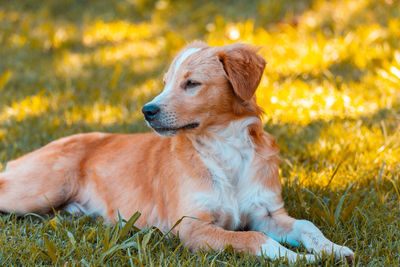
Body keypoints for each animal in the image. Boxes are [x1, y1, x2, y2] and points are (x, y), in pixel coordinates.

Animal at [0, 42, 354, 264]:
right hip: (40, 189)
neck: (224, 148)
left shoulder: (267, 213)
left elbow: (307, 225)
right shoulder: (191, 227)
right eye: (166, 83)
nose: (147, 111)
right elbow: (255, 239)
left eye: (191, 83)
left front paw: (332, 249)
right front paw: (299, 259)